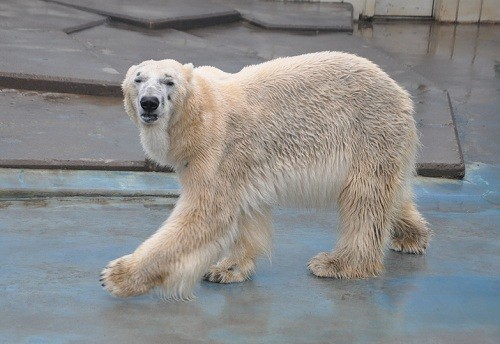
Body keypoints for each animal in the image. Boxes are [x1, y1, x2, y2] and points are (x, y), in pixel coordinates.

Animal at [100, 51, 430, 300]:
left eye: (168, 81)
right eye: (138, 79)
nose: (149, 102)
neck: (199, 113)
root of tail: (399, 92)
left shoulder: (218, 149)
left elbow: (206, 215)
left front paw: (116, 276)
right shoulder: (240, 165)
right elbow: (247, 213)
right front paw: (226, 269)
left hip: (369, 131)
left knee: (364, 200)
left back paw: (337, 263)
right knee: (391, 192)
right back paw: (410, 236)